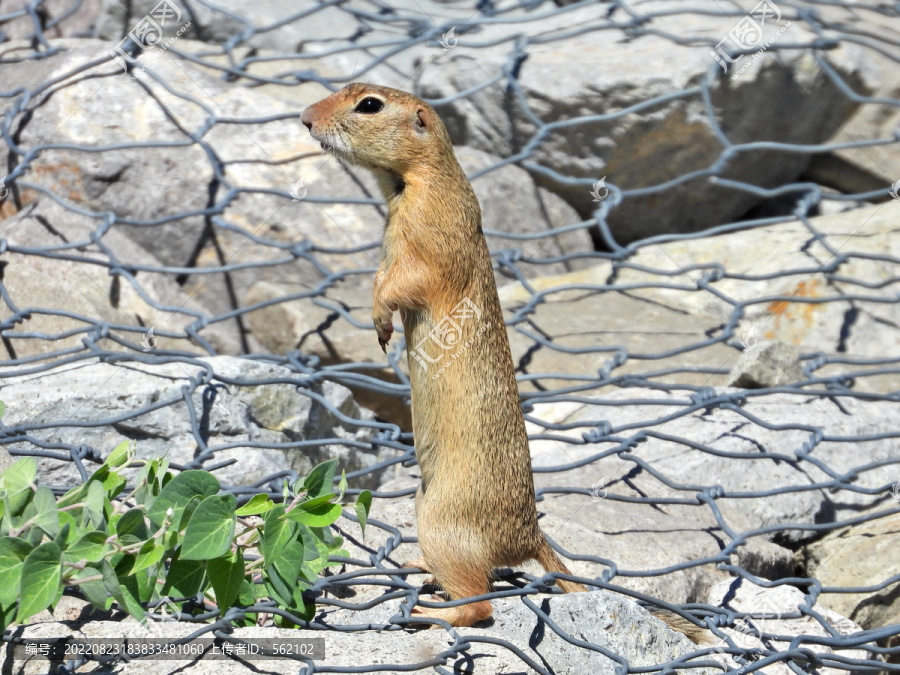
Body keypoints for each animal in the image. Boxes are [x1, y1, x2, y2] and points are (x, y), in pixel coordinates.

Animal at [298, 83, 588, 628]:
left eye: (369, 104)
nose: (304, 117)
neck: (412, 182)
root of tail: (530, 537)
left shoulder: (429, 236)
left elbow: (401, 282)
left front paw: (380, 323)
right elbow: (380, 274)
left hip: (440, 522)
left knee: (479, 605)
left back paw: (429, 610)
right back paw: (420, 570)